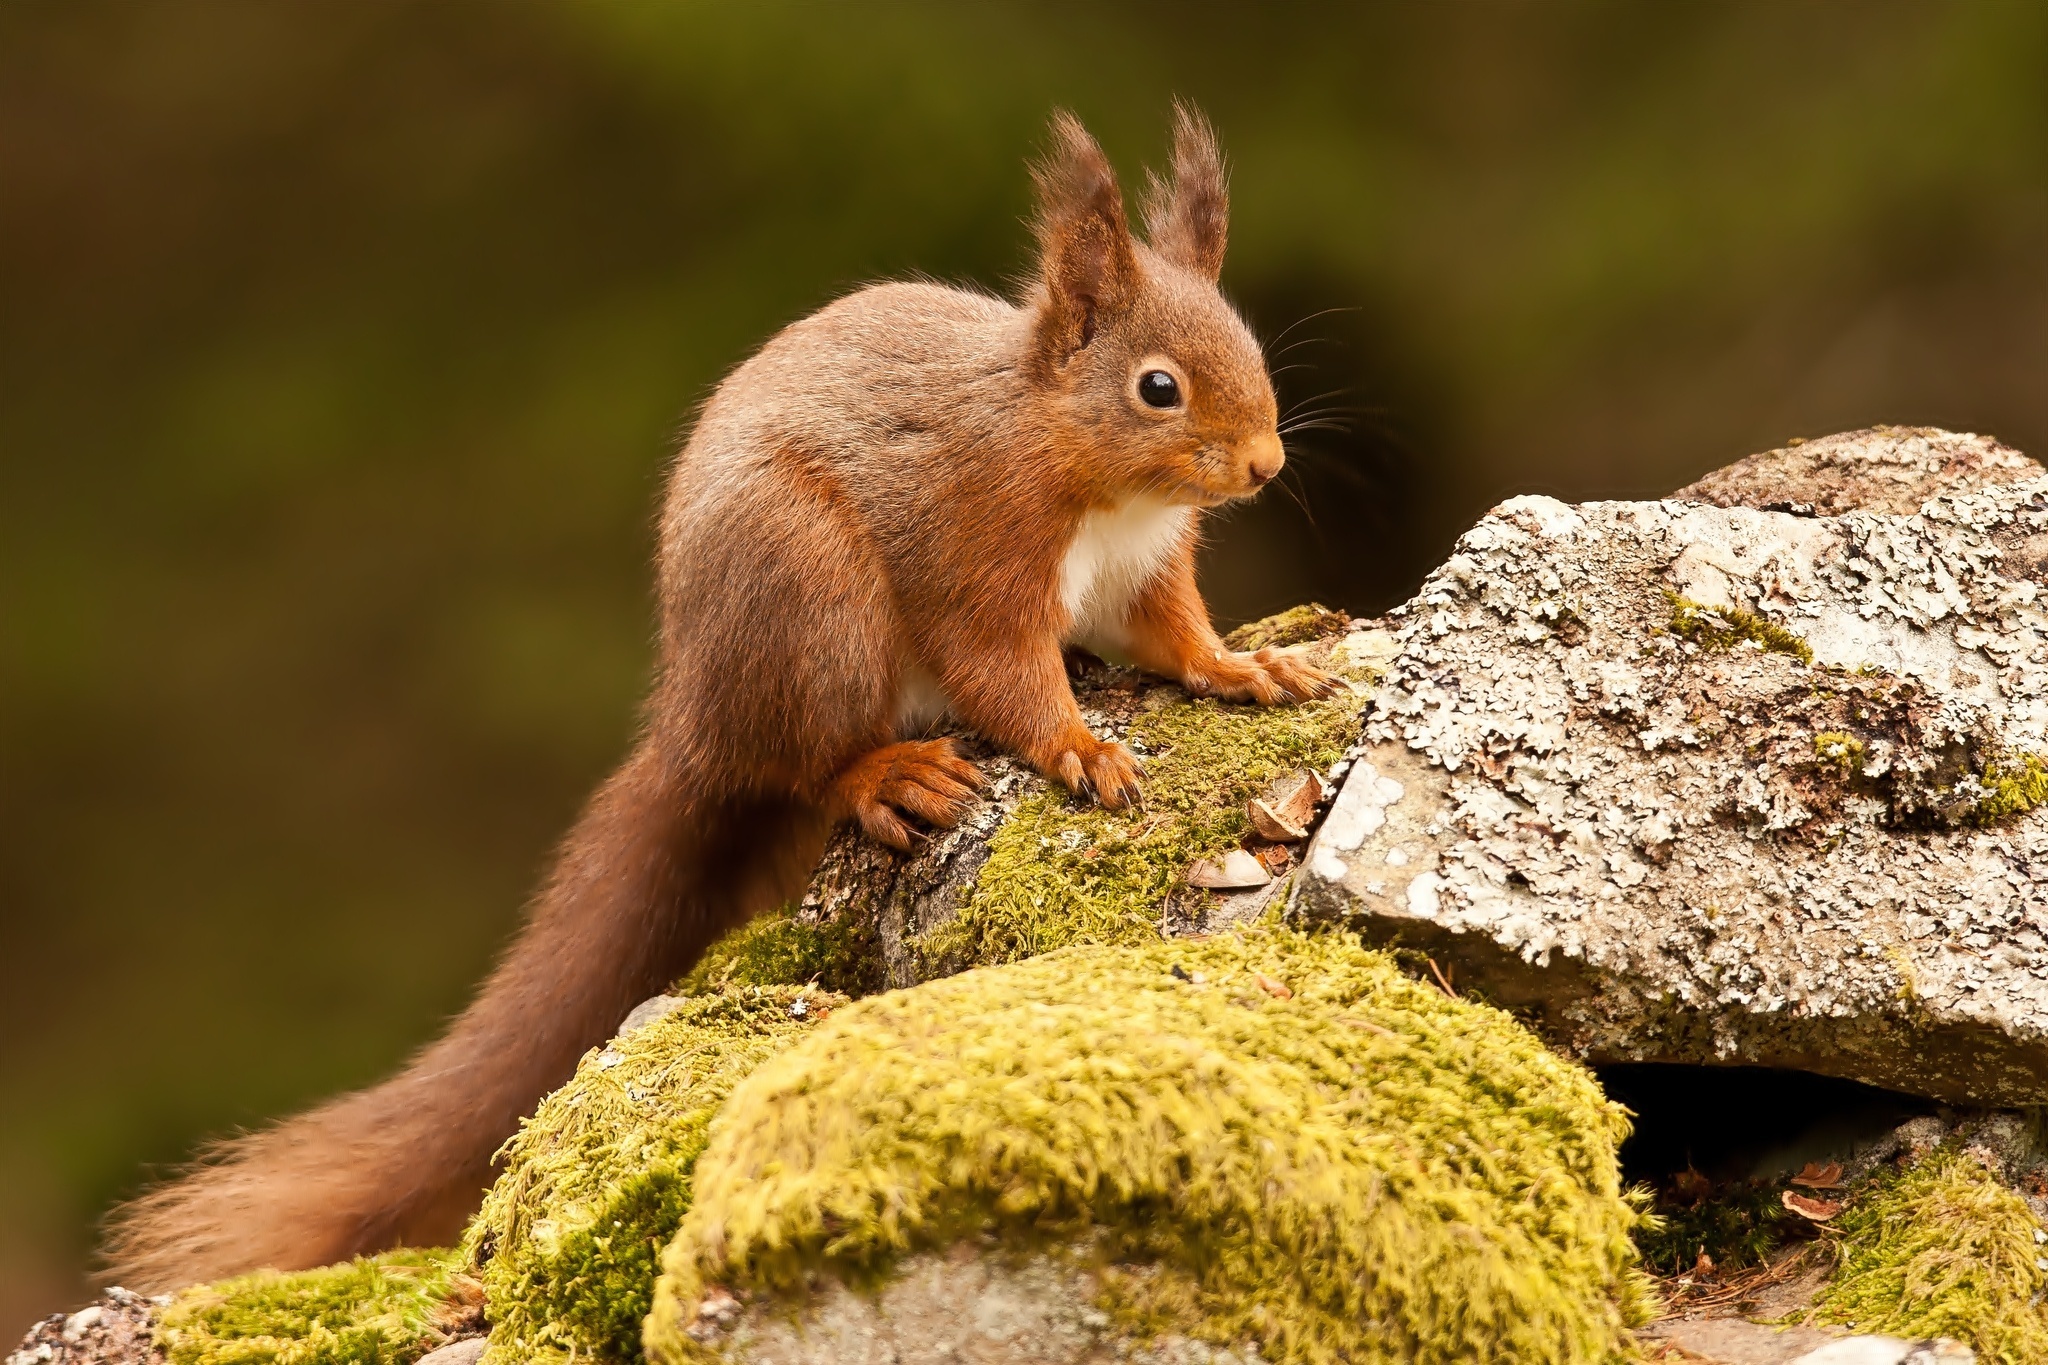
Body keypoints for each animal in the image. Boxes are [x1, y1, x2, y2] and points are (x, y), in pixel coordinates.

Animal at [108, 106, 1327, 1293]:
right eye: (1157, 388)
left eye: (1250, 347)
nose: (1265, 464)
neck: (1087, 471)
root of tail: (692, 724)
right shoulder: (974, 553)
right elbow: (1002, 674)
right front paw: (1081, 745)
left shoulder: (1144, 572)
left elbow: (1175, 637)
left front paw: (1247, 669)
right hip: (809, 601)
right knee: (808, 763)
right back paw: (887, 773)